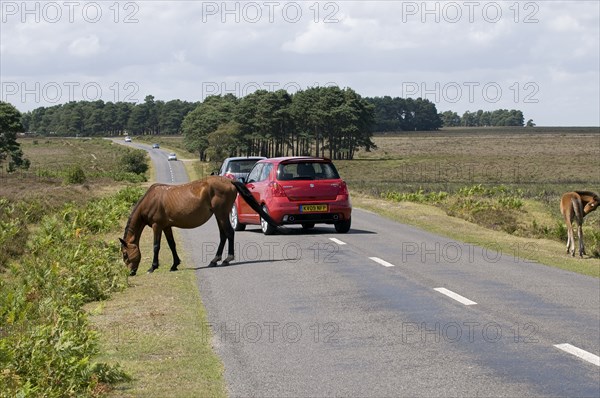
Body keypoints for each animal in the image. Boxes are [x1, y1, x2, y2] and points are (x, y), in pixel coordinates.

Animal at [122, 176, 282, 276]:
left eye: (125, 254)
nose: (131, 272)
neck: (152, 199)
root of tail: (230, 181)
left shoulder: (157, 226)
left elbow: (156, 246)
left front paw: (152, 267)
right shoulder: (167, 226)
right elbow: (172, 244)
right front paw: (175, 265)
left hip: (221, 213)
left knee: (229, 232)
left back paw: (227, 259)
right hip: (219, 215)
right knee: (223, 234)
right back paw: (214, 260)